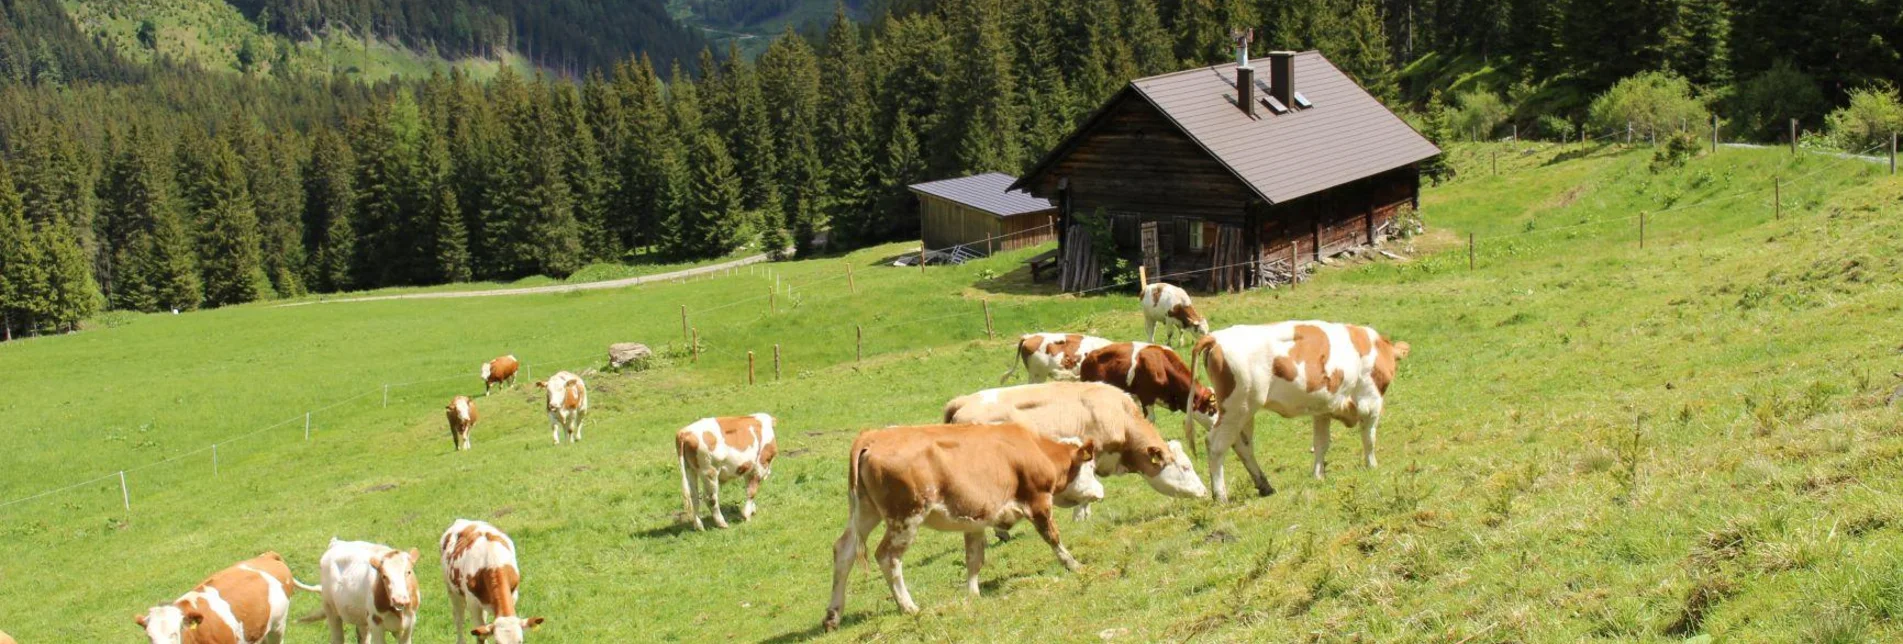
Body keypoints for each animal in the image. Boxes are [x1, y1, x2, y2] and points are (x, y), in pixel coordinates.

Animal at [818, 422, 1103, 628]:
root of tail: (872, 437)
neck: (1036, 449)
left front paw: (973, 595)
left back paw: (833, 615)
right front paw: (1074, 564)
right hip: (906, 518)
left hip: (865, 512)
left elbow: (974, 558)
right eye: (1091, 466)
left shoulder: (975, 520)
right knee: (888, 557)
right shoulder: (1038, 501)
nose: (1102, 491)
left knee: (843, 550)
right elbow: (1052, 537)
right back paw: (909, 607)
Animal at [947, 382, 1210, 522]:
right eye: (1186, 467)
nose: (1204, 492)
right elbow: (1090, 488)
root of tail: (964, 401)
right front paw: (1080, 516)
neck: (1119, 415)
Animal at [1187, 322, 1415, 503]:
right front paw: (1372, 466)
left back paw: (1264, 485)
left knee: (1242, 446)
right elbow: (1369, 439)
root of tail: (1216, 337)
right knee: (1216, 444)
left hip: (1244, 412)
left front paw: (1318, 475)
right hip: (1237, 408)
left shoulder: (1323, 409)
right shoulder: (1371, 403)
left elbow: (1321, 444)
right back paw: (1221, 496)